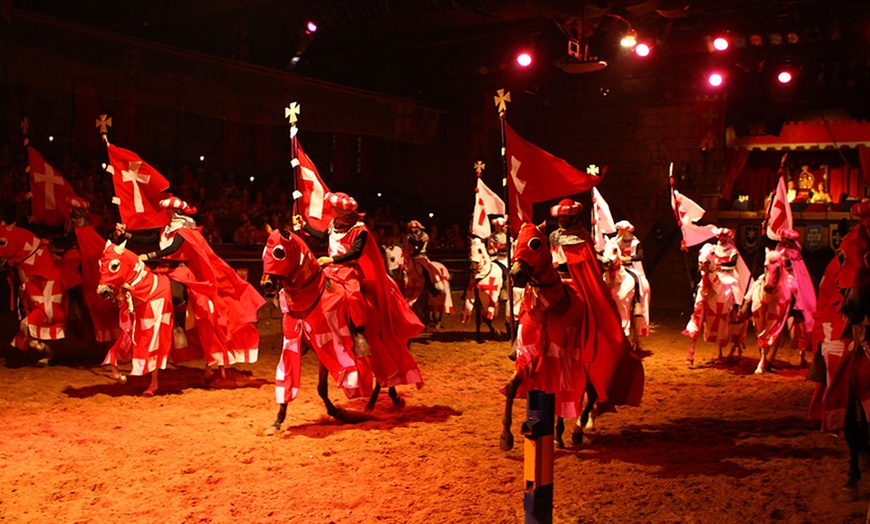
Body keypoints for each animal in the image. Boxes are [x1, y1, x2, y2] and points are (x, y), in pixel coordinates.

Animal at [260, 227, 408, 432]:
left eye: (279, 252)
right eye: (264, 252)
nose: (266, 284)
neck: (313, 297)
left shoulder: (328, 348)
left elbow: (322, 388)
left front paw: (339, 413)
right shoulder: (296, 345)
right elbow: (292, 379)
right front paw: (277, 421)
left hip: (383, 338)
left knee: (387, 371)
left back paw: (377, 404)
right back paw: (379, 403)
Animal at [498, 222, 648, 450]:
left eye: (535, 243)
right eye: (515, 242)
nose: (516, 274)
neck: (551, 309)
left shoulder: (564, 359)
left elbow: (567, 394)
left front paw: (563, 432)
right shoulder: (529, 357)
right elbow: (512, 387)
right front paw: (506, 436)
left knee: (591, 392)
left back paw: (578, 429)